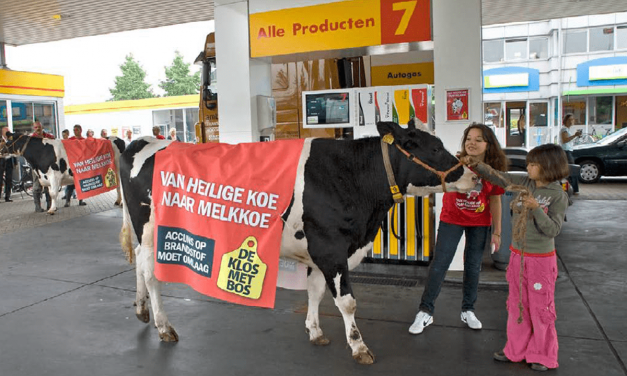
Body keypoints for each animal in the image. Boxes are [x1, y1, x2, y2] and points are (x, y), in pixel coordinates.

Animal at [118, 120, 476, 364]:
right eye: (433, 148)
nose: (473, 176)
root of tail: (139, 142)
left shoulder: (322, 250)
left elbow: (315, 291)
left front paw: (315, 331)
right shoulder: (331, 248)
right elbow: (347, 301)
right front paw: (358, 346)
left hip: (144, 235)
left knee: (139, 267)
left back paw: (141, 310)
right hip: (151, 231)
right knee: (151, 274)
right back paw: (164, 326)